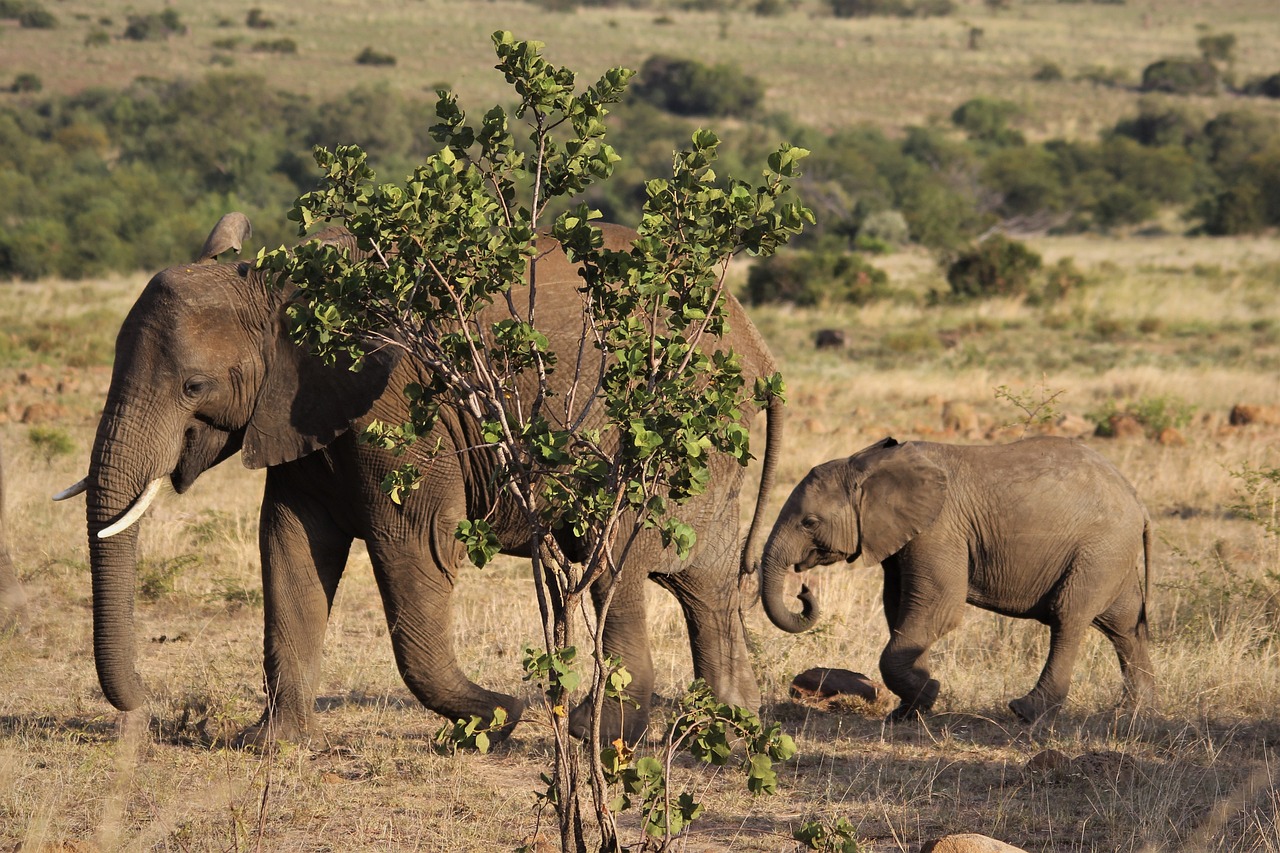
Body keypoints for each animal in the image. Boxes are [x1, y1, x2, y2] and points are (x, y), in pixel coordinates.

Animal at [62, 213, 778, 742]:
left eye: (193, 385)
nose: (151, 708)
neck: (290, 285)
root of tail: (758, 348)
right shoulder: (300, 412)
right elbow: (291, 548)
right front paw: (268, 746)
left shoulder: (404, 406)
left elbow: (413, 545)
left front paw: (497, 719)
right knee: (703, 585)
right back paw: (728, 726)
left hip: (662, 430)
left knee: (612, 558)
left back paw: (593, 734)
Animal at [752, 435, 1157, 722]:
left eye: (810, 522)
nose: (803, 591)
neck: (866, 464)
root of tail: (1138, 501)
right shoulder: (904, 538)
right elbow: (899, 610)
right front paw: (909, 709)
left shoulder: (939, 529)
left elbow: (937, 610)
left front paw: (928, 694)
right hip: (1109, 553)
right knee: (1124, 624)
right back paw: (1133, 710)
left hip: (1099, 548)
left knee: (1068, 617)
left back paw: (1027, 712)